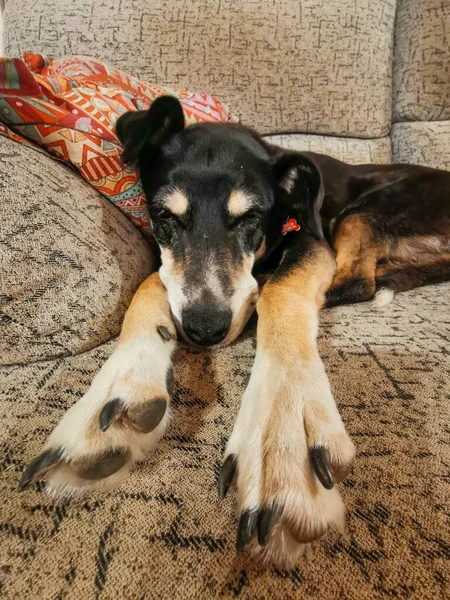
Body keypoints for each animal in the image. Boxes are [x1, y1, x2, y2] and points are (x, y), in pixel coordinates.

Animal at [19, 96, 450, 564]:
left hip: (367, 209)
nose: (204, 329)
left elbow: (278, 289)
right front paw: (121, 383)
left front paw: (281, 429)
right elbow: (151, 283)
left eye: (252, 218)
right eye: (164, 215)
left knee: (356, 282)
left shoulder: (311, 241)